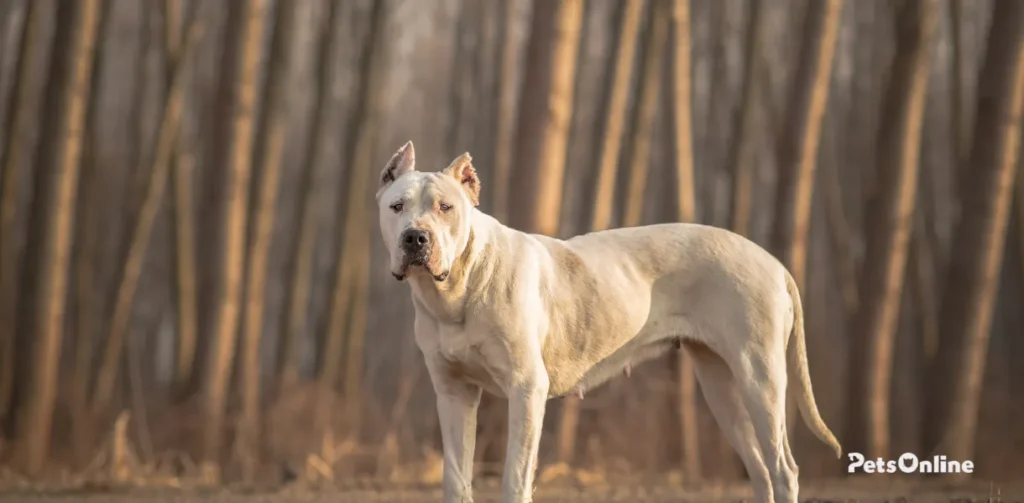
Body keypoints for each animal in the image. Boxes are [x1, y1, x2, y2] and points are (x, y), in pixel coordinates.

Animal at [376, 141, 839, 503]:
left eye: (446, 208)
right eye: (397, 207)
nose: (415, 237)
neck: (458, 288)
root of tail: (773, 263)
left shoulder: (526, 389)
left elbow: (514, 477)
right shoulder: (454, 393)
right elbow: (456, 478)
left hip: (760, 378)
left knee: (782, 469)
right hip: (721, 386)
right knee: (760, 470)